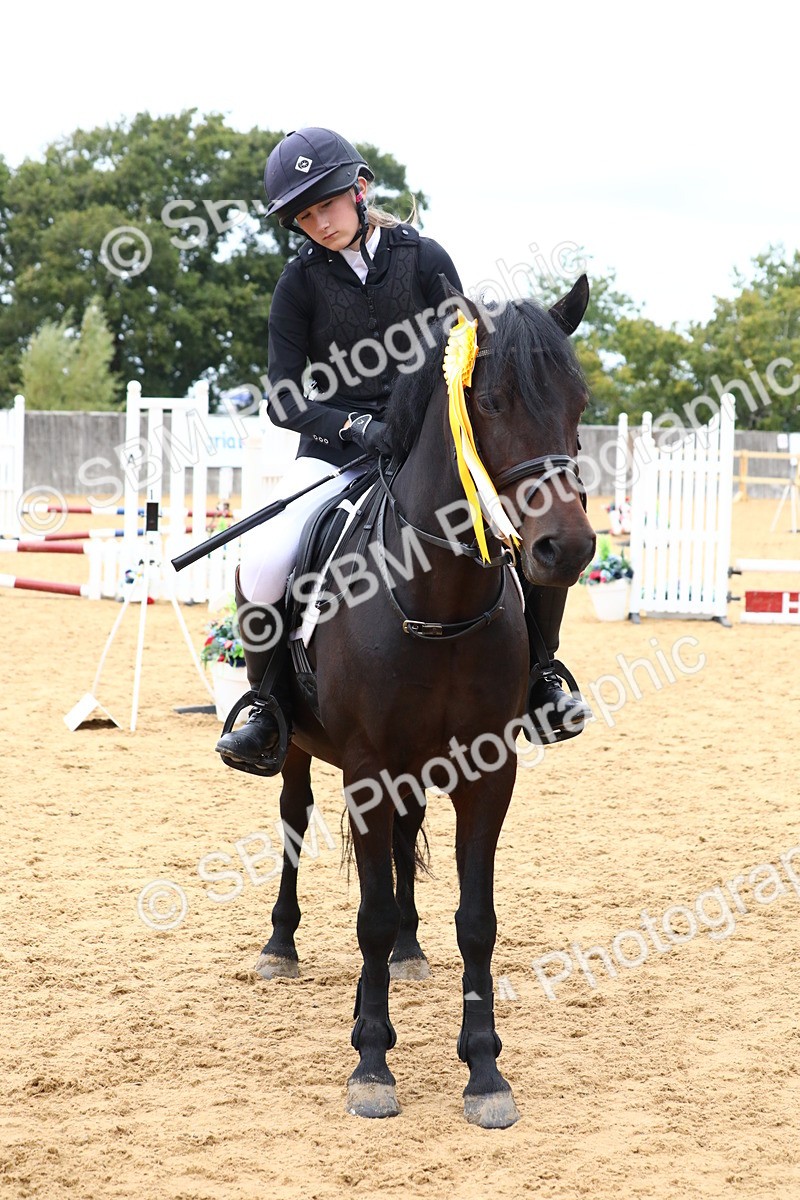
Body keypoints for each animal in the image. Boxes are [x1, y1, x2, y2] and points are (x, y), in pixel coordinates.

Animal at [250, 275, 595, 1128]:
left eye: (579, 400)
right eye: (491, 401)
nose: (566, 548)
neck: (437, 592)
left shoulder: (487, 772)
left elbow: (477, 919)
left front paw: (485, 1071)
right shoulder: (367, 769)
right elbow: (368, 913)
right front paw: (372, 1063)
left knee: (406, 844)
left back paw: (409, 951)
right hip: (302, 751)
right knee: (294, 821)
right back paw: (280, 946)